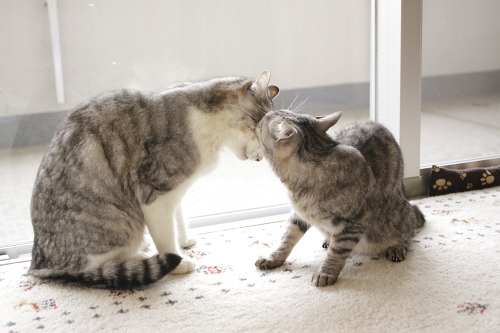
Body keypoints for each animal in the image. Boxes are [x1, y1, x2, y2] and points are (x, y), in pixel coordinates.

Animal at [29, 70, 280, 288]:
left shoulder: (177, 190)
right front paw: (179, 260)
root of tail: (37, 264)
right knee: (95, 267)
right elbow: (166, 236)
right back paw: (139, 256)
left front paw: (184, 240)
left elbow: (179, 218)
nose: (261, 158)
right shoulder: (155, 194)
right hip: (118, 224)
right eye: (260, 133)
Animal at [256, 109, 424, 286]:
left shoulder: (353, 224)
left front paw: (326, 272)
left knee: (409, 231)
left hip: (397, 217)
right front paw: (273, 258)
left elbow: (337, 252)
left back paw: (398, 246)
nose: (263, 113)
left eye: (263, 122)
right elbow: (286, 238)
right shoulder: (298, 215)